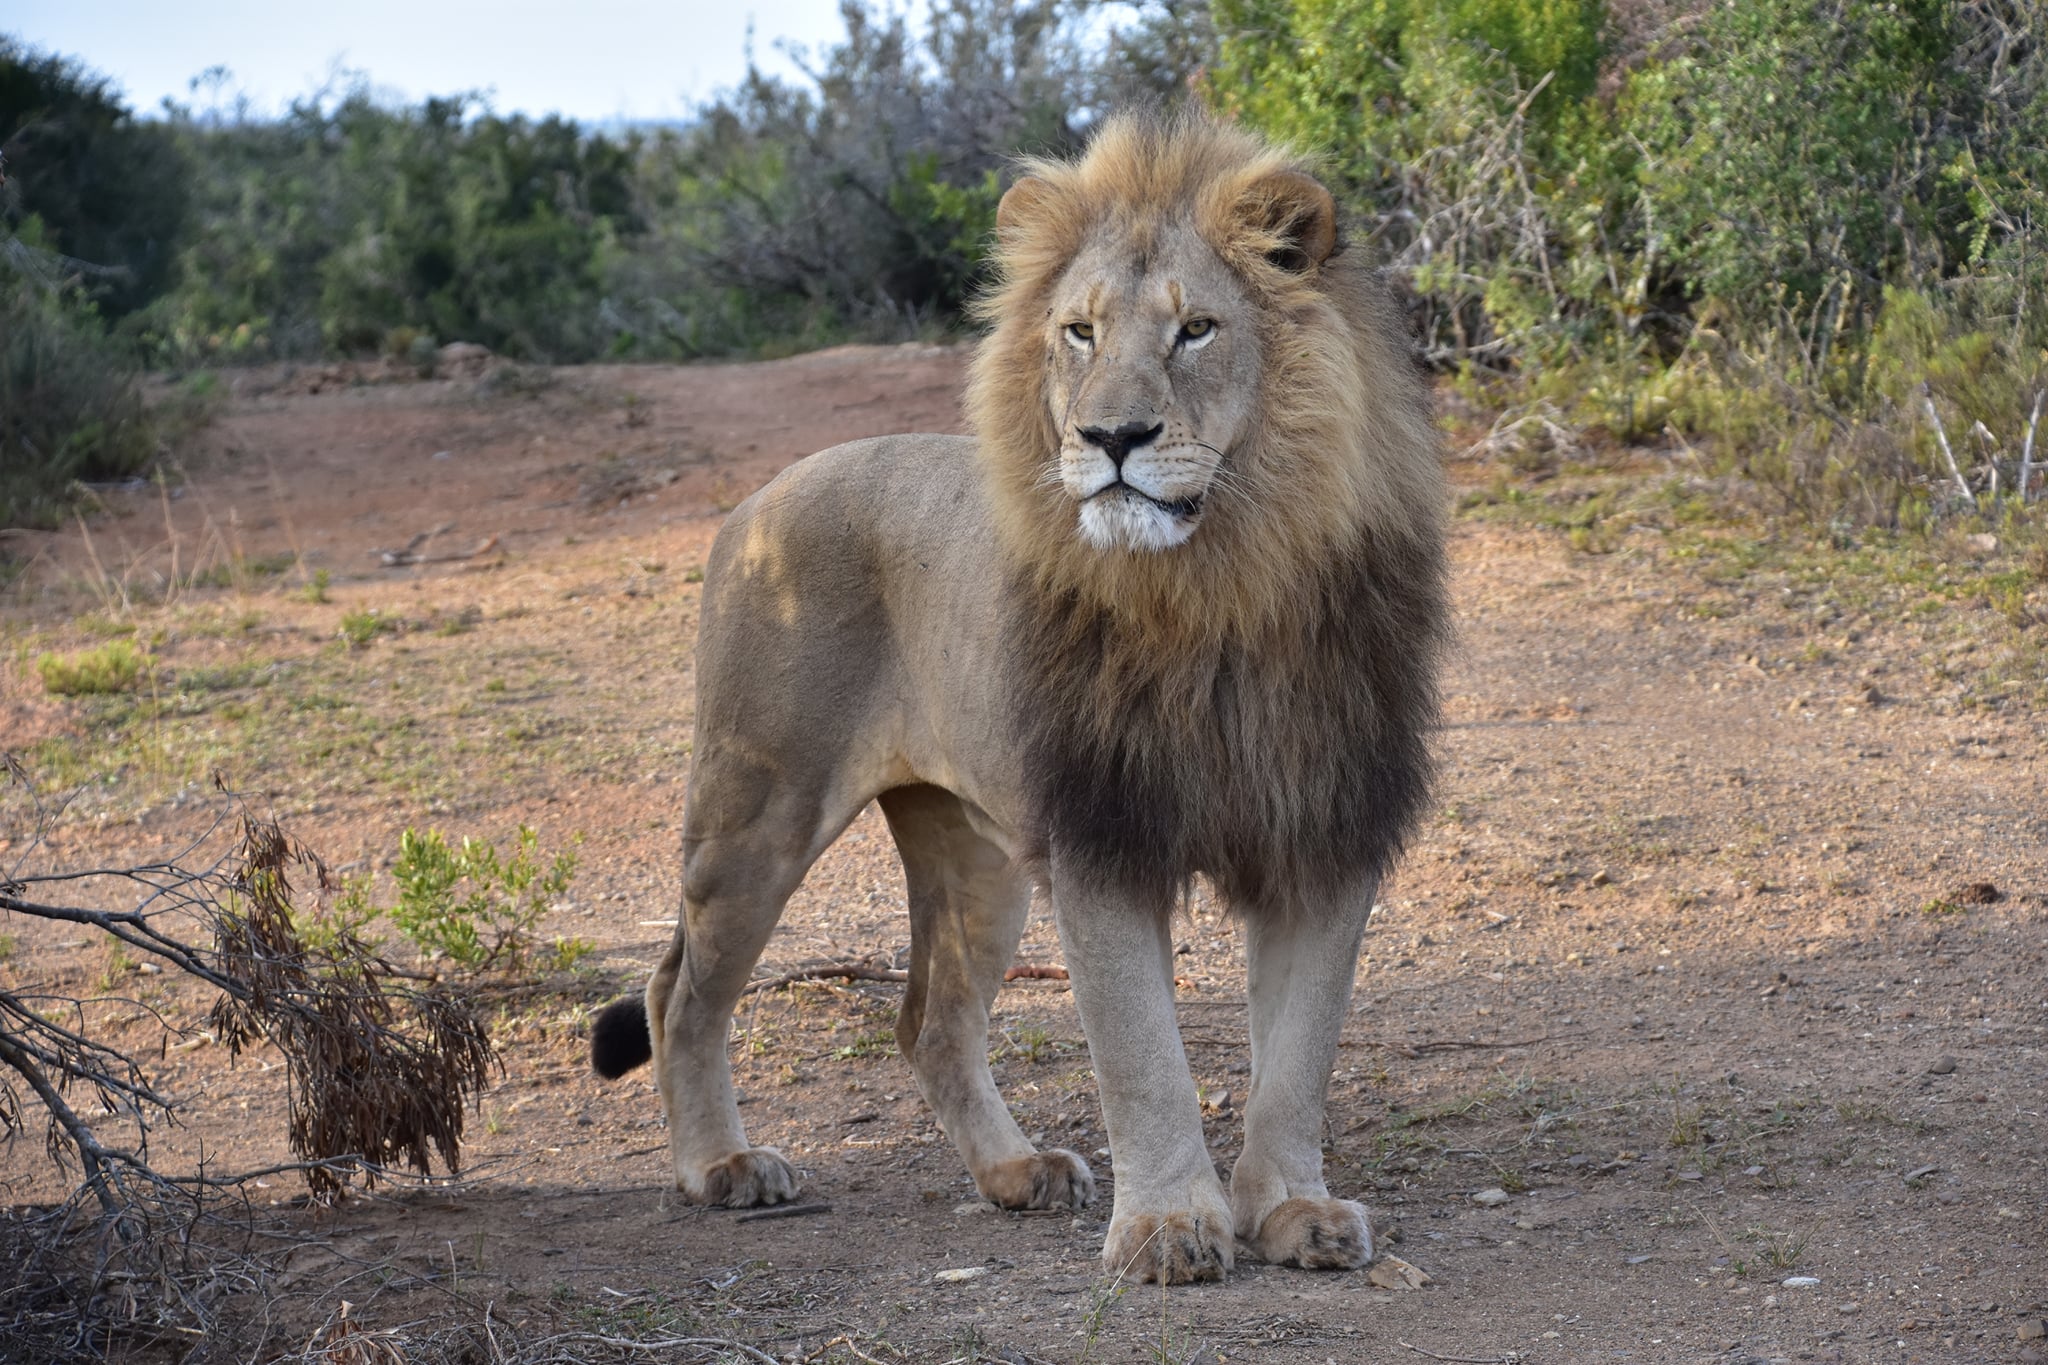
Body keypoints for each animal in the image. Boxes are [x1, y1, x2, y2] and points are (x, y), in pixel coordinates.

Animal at [593, 112, 1449, 1285]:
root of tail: (758, 496)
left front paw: (1291, 1213)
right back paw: (721, 1167)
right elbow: (1141, 1054)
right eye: (1078, 333)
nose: (1112, 439)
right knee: (678, 988)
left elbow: (1298, 1055)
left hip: (974, 854)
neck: (1215, 588)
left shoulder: (1323, 828)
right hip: (756, 809)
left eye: (1197, 330)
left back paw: (1012, 1172)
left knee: (930, 1020)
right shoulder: (1101, 835)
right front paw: (1168, 1227)